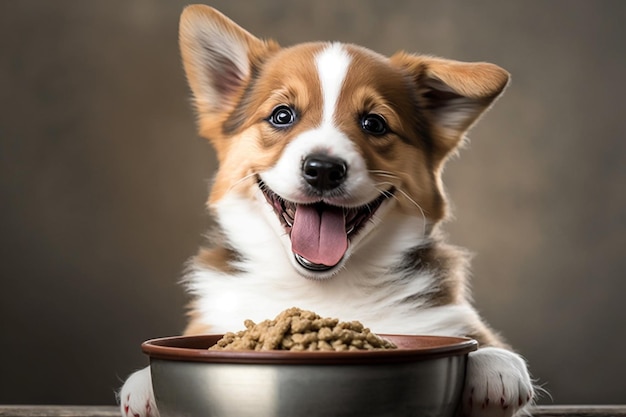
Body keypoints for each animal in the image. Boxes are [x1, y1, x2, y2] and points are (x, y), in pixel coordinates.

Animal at [119, 4, 532, 416]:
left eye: (374, 123)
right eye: (282, 115)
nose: (323, 169)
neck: (321, 288)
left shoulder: (445, 316)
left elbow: (475, 340)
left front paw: (493, 363)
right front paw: (144, 383)